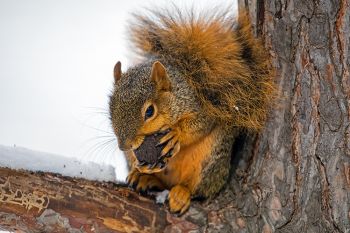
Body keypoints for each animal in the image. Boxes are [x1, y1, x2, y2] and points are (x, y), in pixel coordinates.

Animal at [109, 6, 276, 215]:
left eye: (149, 111)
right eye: (110, 108)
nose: (124, 146)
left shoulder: (202, 106)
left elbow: (201, 125)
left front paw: (176, 134)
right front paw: (143, 167)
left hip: (210, 160)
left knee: (199, 188)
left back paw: (181, 194)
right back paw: (145, 177)